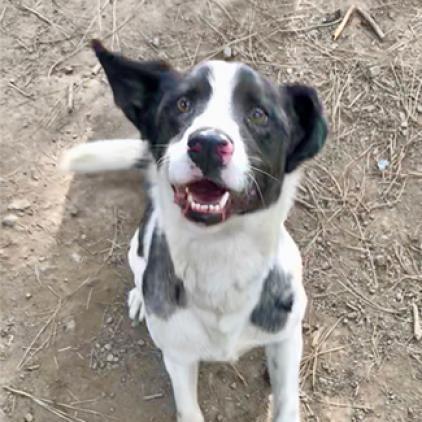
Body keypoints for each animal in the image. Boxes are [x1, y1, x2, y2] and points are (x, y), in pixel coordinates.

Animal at [61, 40, 328, 422]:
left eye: (259, 114)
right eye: (183, 104)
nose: (208, 143)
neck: (221, 255)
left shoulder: (287, 336)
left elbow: (288, 403)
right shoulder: (178, 356)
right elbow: (188, 408)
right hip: (136, 247)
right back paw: (139, 297)